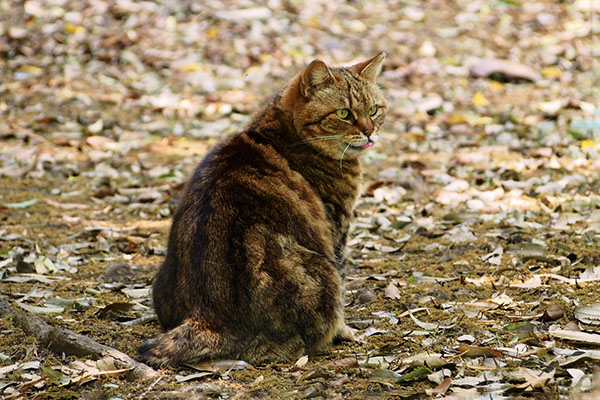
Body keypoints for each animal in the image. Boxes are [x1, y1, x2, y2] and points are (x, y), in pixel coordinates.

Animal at [138, 51, 386, 368]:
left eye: (375, 109)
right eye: (344, 113)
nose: (370, 131)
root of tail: (207, 317)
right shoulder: (337, 230)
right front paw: (346, 331)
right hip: (321, 271)